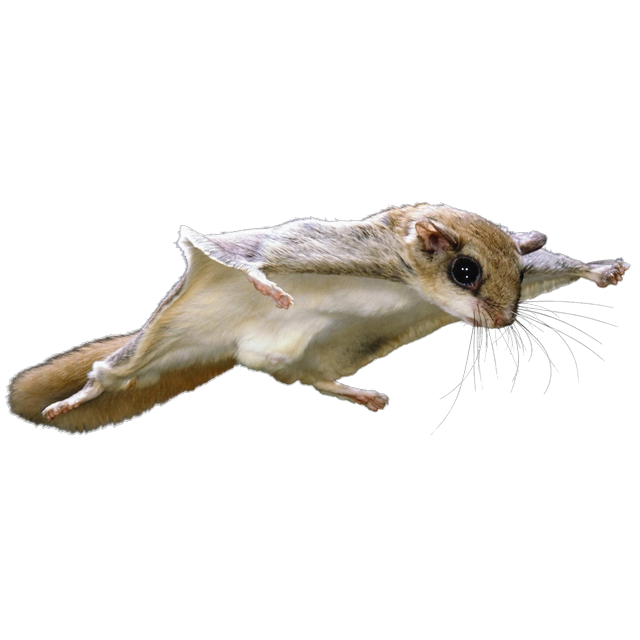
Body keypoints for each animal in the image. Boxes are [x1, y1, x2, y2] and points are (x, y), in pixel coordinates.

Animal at [7, 202, 630, 434]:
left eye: (518, 279)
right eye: (465, 272)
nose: (501, 319)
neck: (409, 277)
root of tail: (238, 350)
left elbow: (559, 265)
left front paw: (603, 269)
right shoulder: (329, 244)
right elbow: (247, 252)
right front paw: (266, 285)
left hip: (323, 352)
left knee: (310, 379)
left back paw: (363, 395)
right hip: (161, 338)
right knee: (112, 374)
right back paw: (71, 401)